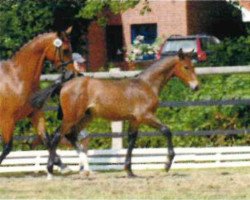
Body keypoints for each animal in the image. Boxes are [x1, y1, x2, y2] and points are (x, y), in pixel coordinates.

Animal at [0, 26, 74, 167]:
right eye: (65, 50)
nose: (72, 74)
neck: (18, 78)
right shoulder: (7, 120)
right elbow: (7, 148)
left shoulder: (35, 113)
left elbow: (46, 139)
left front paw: (59, 164)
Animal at [47, 49, 199, 177]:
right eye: (186, 67)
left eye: (193, 66)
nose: (196, 86)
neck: (147, 85)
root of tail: (64, 85)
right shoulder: (146, 116)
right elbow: (166, 130)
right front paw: (167, 163)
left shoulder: (135, 120)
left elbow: (131, 140)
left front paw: (129, 171)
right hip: (71, 117)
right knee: (57, 136)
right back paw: (51, 171)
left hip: (86, 117)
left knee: (71, 135)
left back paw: (85, 169)